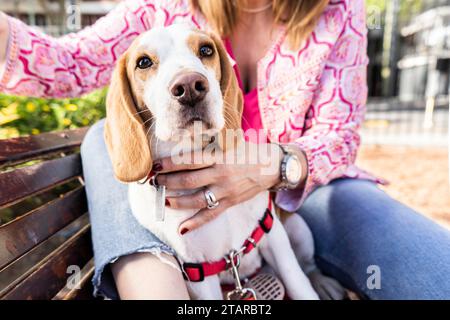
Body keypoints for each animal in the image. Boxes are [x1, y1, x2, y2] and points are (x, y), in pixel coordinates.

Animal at [105, 24, 342, 300]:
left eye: (206, 50)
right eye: (143, 62)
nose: (189, 86)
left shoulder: (272, 234)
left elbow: (299, 284)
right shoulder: (199, 272)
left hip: (297, 229)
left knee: (308, 265)